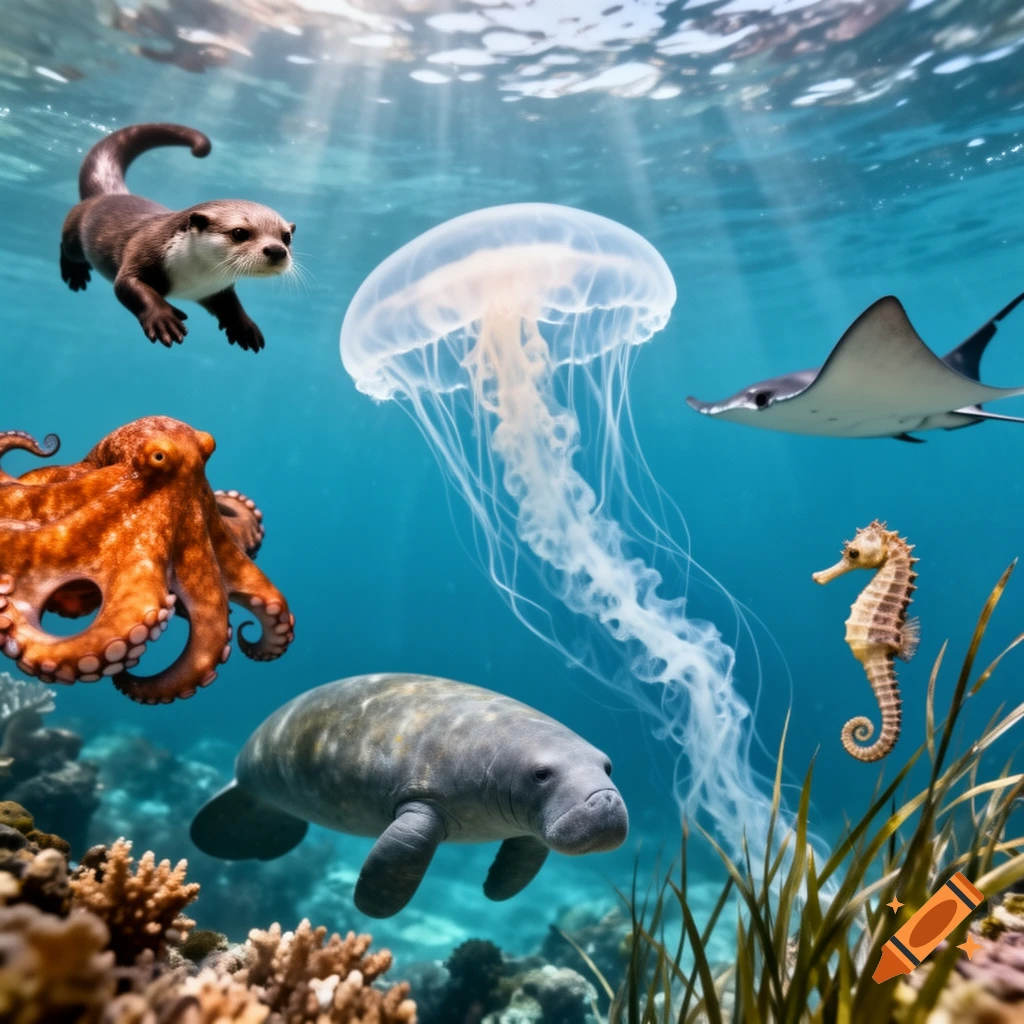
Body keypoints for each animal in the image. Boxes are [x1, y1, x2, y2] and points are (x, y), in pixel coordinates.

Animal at [60, 123, 294, 352]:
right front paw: (163, 319)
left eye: (286, 237)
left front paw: (244, 327)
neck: (193, 278)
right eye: (239, 232)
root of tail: (110, 193)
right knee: (67, 246)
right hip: (75, 231)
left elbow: (230, 304)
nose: (277, 250)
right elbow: (127, 284)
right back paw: (75, 274)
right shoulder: (143, 250)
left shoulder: (215, 289)